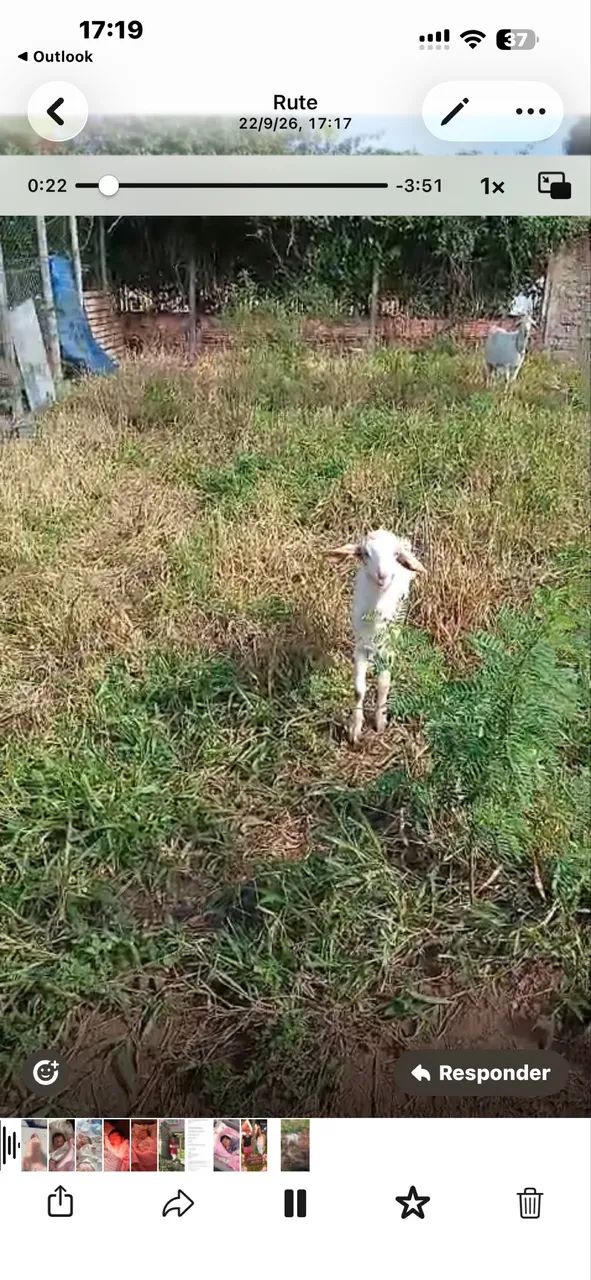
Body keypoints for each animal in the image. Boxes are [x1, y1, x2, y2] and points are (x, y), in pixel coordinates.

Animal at [325, 528, 426, 745]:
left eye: (396, 555)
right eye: (365, 554)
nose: (382, 575)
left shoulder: (388, 648)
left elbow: (383, 684)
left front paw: (380, 721)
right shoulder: (360, 647)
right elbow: (358, 689)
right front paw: (355, 730)